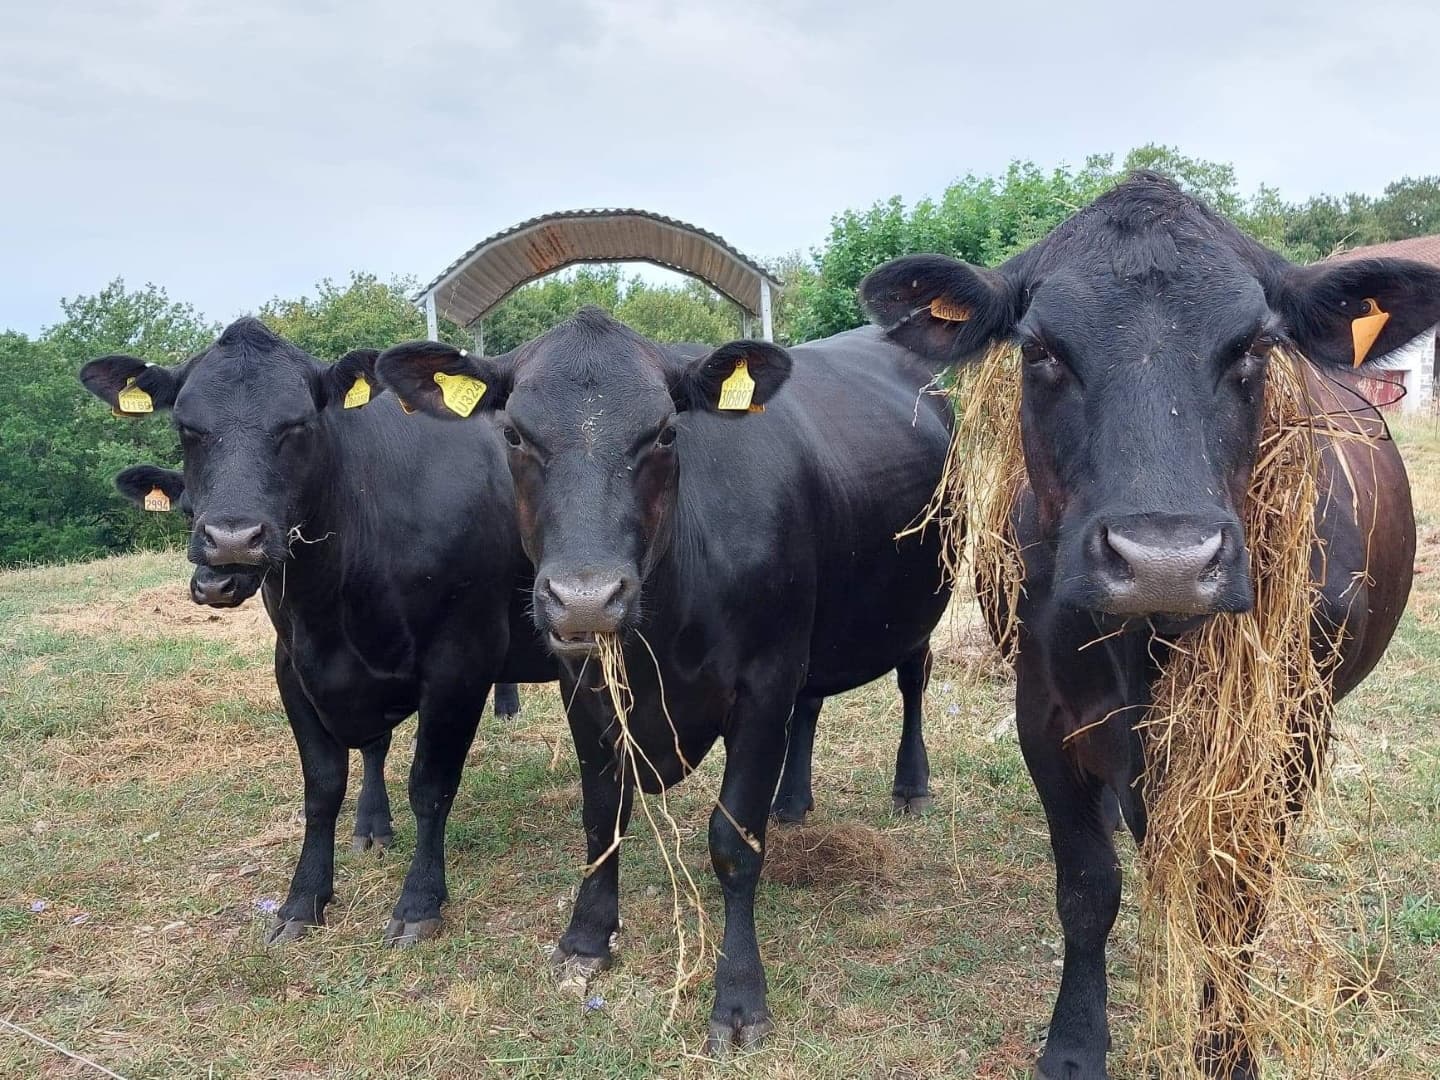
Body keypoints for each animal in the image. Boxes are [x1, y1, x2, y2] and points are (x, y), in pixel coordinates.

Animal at [80, 318, 556, 945]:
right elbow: (324, 786)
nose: (231, 542)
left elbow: (431, 785)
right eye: (186, 427)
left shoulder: (460, 659)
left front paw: (419, 902)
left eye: (298, 425)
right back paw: (372, 825)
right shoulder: (295, 664)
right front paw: (303, 899)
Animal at [375, 308, 953, 1052]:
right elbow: (602, 817)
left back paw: (910, 786)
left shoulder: (763, 684)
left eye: (666, 433)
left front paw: (739, 997)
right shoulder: (586, 689)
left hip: (924, 596)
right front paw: (587, 940)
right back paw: (793, 801)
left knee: (913, 679)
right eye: (513, 434)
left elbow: (733, 843)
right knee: (813, 705)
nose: (585, 599)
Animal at [860, 172, 1432, 1079]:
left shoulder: (1286, 735)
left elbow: (1235, 900)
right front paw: (1073, 1044)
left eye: (1253, 346)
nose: (1165, 558)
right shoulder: (1045, 713)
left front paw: (1227, 1047)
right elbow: (1088, 888)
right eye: (1040, 350)